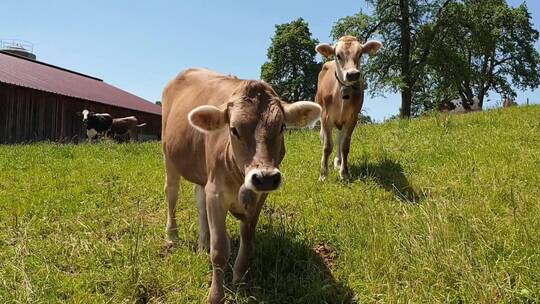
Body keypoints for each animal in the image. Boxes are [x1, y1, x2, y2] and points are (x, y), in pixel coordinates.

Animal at [160, 67, 320, 302]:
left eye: (281, 127)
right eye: (234, 129)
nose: (265, 177)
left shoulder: (258, 198)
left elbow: (247, 238)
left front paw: (238, 278)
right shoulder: (216, 193)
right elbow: (219, 251)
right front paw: (215, 296)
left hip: (202, 173)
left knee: (199, 203)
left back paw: (202, 243)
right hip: (169, 158)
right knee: (172, 193)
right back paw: (172, 236)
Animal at [314, 36, 382, 182]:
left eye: (360, 54)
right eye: (338, 55)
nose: (352, 74)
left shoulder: (352, 119)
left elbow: (345, 146)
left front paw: (344, 173)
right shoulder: (325, 117)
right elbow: (327, 146)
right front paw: (323, 175)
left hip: (342, 122)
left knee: (339, 140)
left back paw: (339, 162)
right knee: (325, 138)